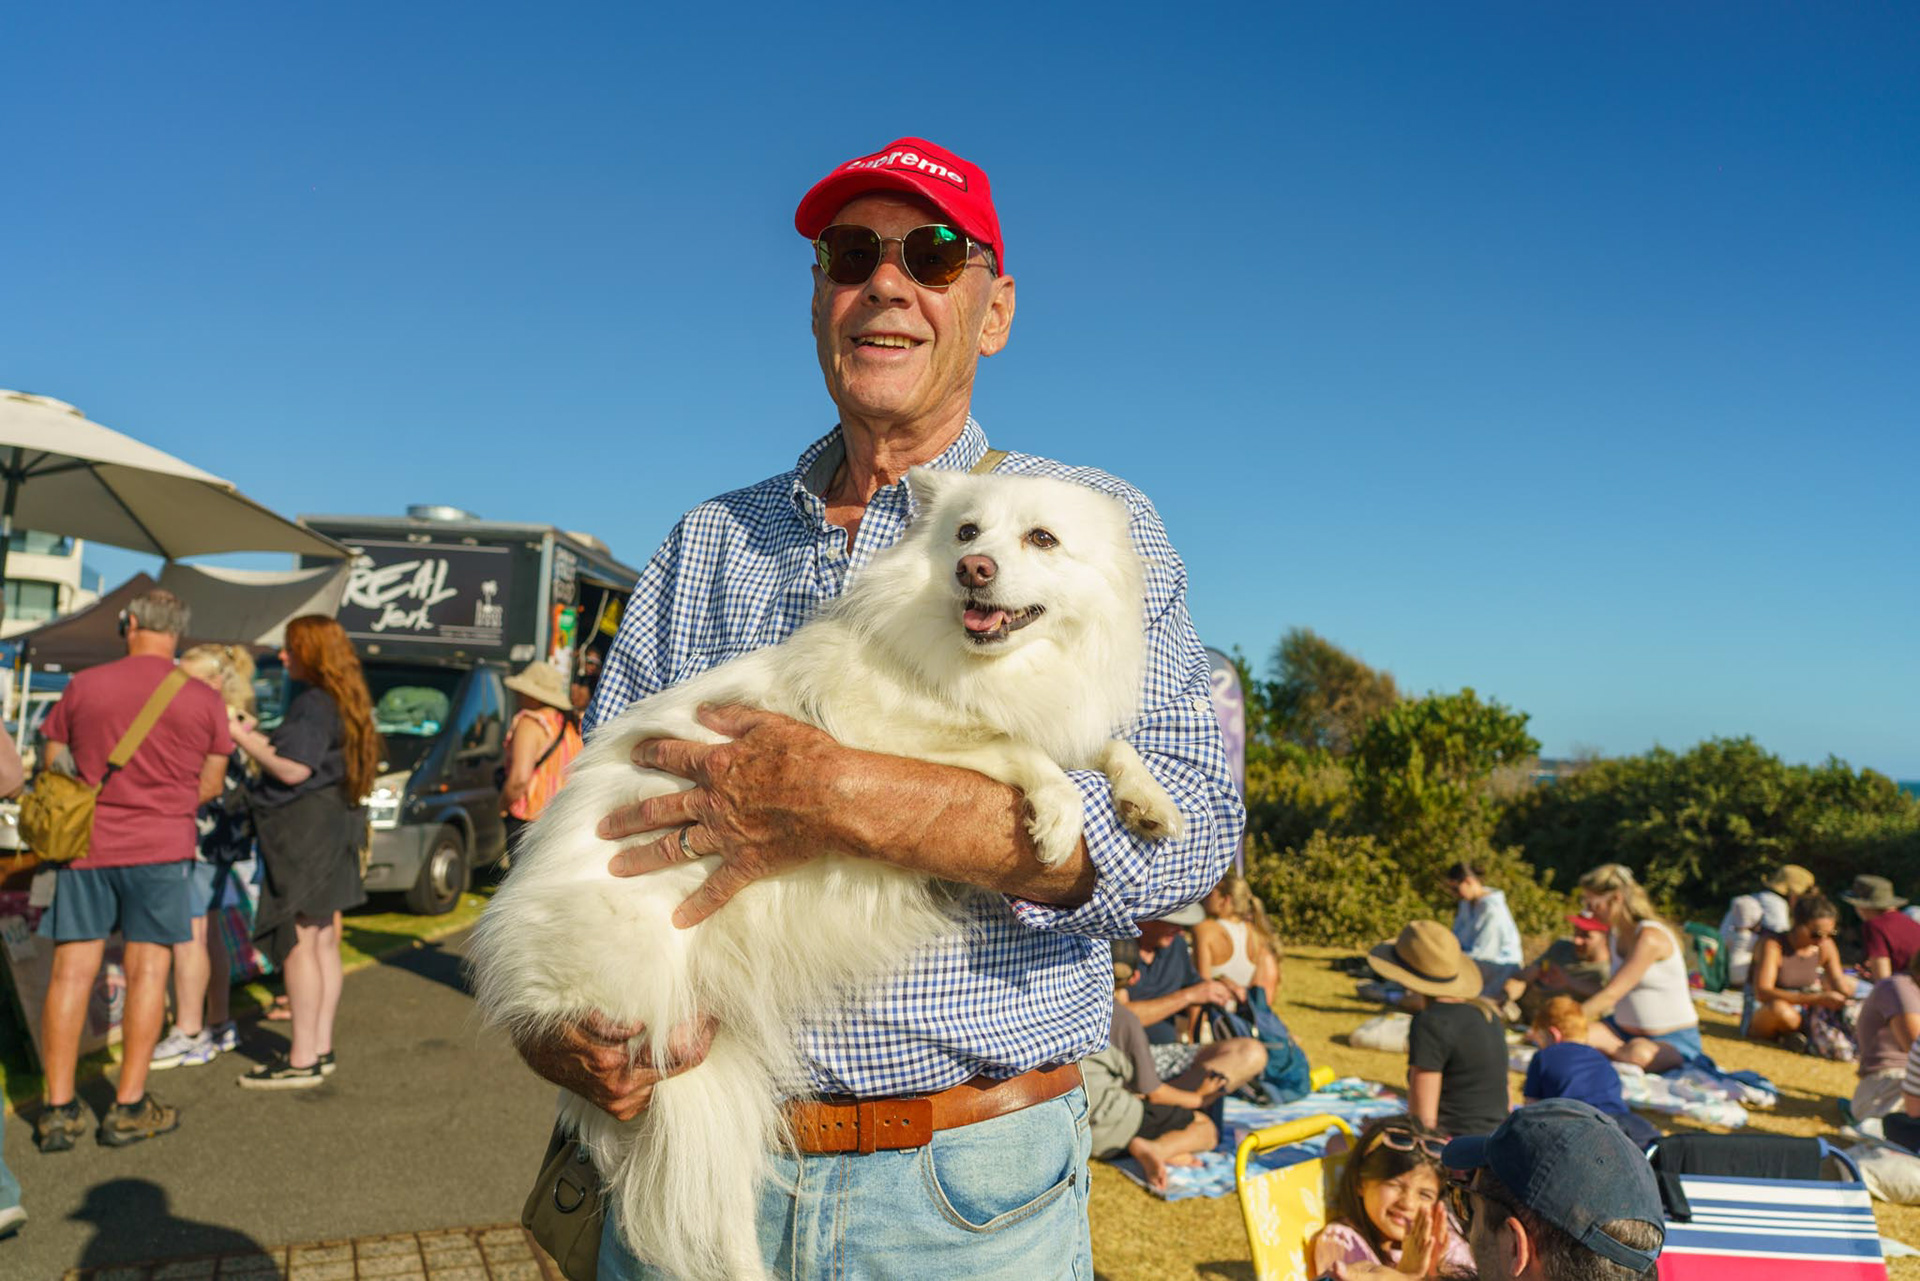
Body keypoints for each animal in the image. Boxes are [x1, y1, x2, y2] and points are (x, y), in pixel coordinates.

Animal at [468, 466, 1183, 1280]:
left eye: (1042, 539)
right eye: (967, 534)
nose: (974, 569)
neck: (987, 665)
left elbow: (1107, 748)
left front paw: (1148, 802)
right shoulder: (894, 737)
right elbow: (1012, 747)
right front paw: (1058, 815)